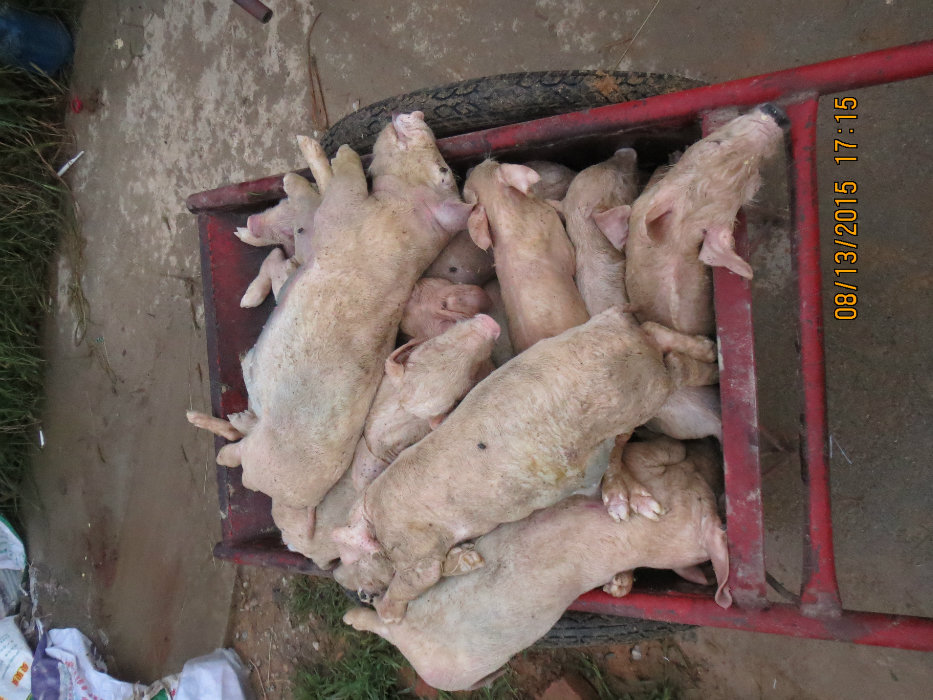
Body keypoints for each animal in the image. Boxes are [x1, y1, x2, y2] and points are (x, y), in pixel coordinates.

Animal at [189, 113, 475, 537]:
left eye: (442, 172)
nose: (419, 115)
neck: (398, 212)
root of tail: (305, 500)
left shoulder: (347, 214)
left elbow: (342, 185)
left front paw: (330, 154)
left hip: (263, 461)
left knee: (238, 460)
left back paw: (206, 429)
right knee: (239, 428)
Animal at [343, 437, 730, 692]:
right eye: (715, 509)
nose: (716, 448)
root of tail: (412, 646)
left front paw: (617, 585)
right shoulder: (653, 468)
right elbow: (663, 450)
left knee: (381, 620)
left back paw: (354, 616)